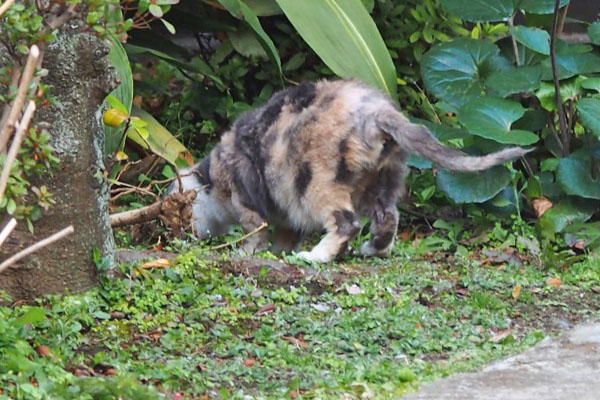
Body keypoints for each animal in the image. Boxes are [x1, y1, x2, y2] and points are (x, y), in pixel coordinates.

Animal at [170, 79, 528, 264]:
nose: (180, 232)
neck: (213, 176)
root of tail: (375, 113)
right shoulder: (284, 214)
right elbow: (283, 235)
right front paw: (279, 251)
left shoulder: (245, 202)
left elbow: (255, 232)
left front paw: (249, 253)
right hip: (380, 181)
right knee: (388, 217)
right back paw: (373, 249)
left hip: (315, 184)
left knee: (348, 223)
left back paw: (316, 256)